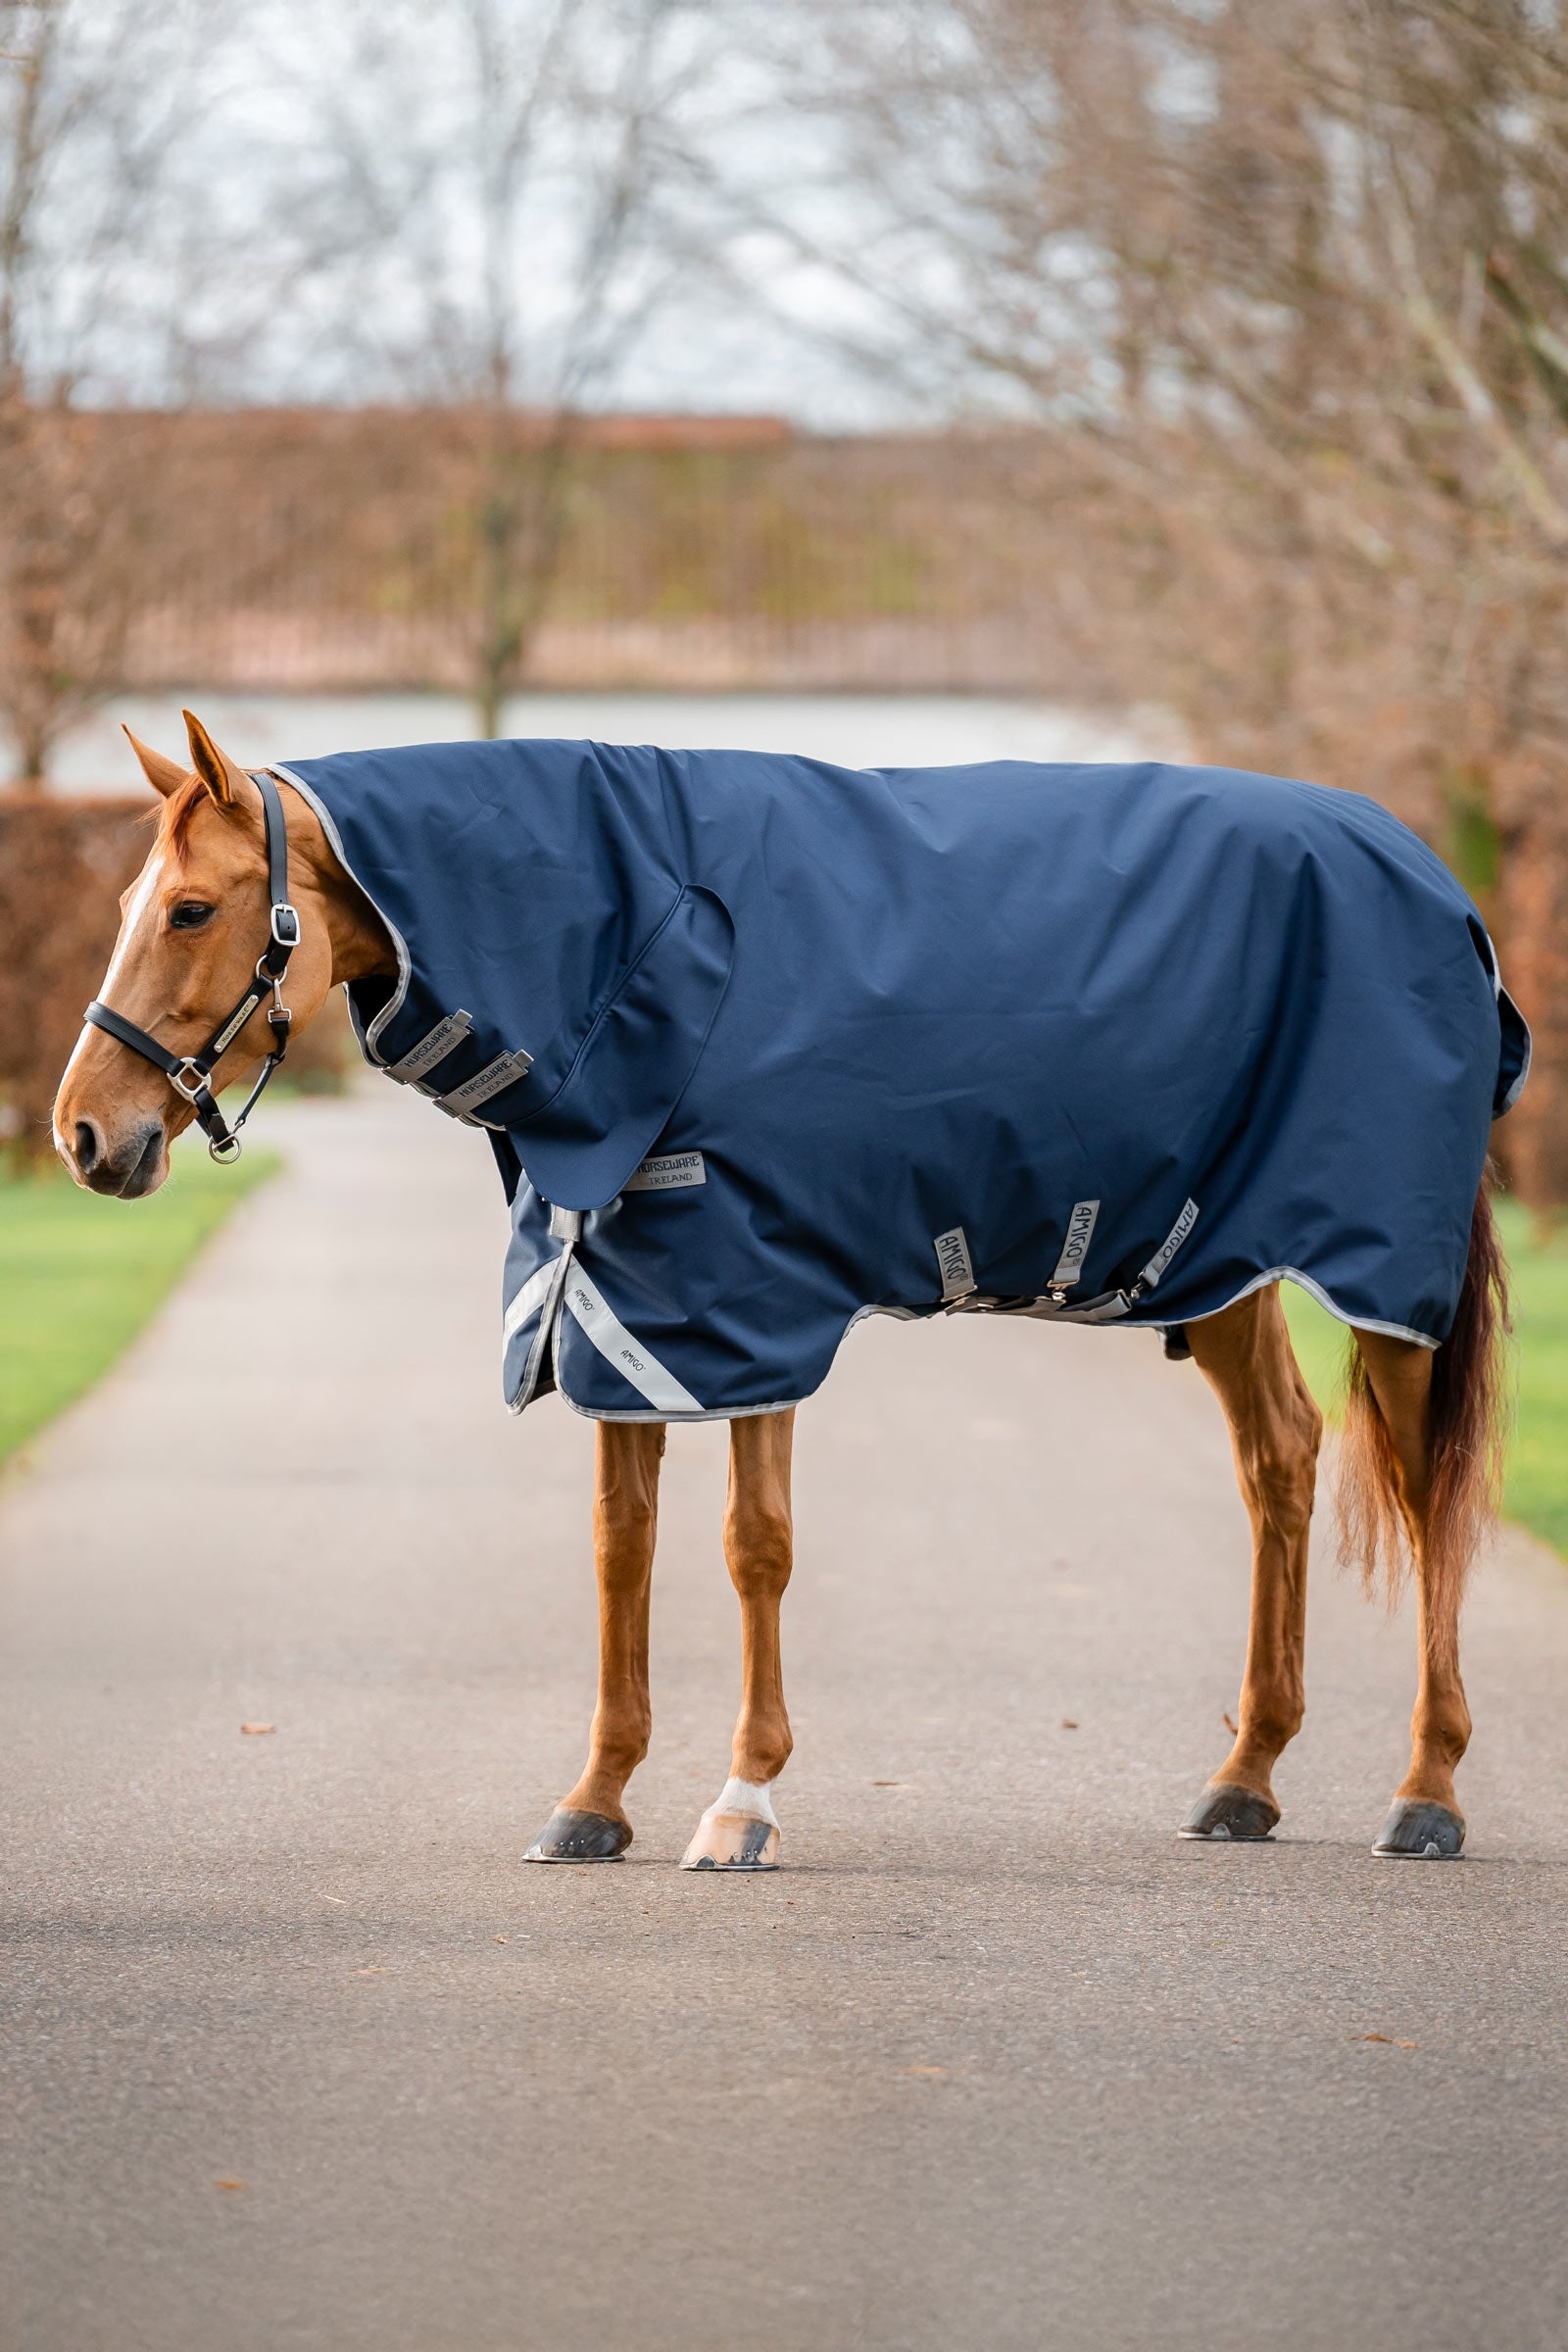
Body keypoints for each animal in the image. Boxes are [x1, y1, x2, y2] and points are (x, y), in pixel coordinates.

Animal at [53, 709, 1515, 1869]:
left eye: (192, 909)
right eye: (122, 907)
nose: (82, 1136)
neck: (636, 940)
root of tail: (1435, 886)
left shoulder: (752, 1303)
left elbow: (752, 1546)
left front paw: (741, 1802)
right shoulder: (621, 1305)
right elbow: (621, 1547)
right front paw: (596, 1801)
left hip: (1377, 1277)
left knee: (1426, 1495)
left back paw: (1427, 1793)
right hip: (1218, 1266)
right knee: (1281, 1458)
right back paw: (1244, 1779)